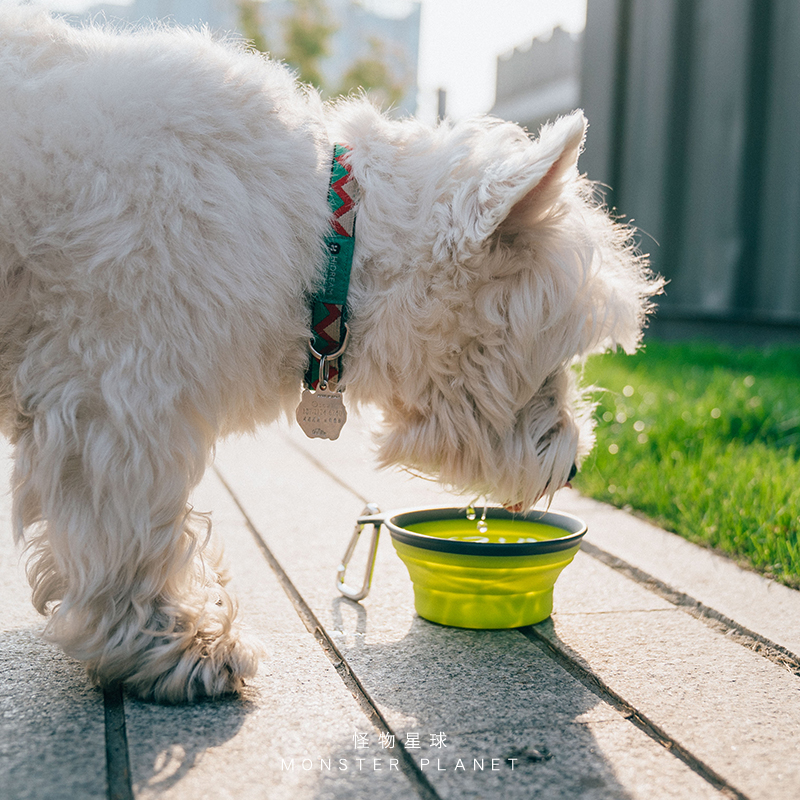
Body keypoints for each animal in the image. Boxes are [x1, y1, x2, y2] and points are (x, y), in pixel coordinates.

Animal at [0, 10, 664, 700]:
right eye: (550, 363)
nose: (576, 468)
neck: (326, 240)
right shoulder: (118, 395)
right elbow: (133, 525)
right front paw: (179, 638)